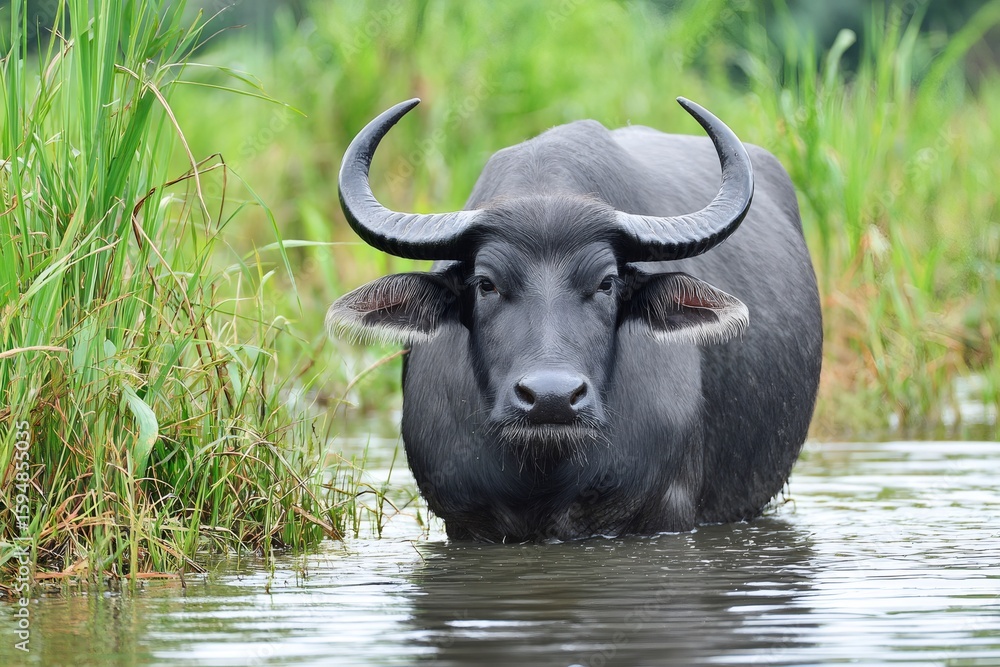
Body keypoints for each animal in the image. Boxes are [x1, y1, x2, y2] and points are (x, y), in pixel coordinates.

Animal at [328, 97, 822, 542]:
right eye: (486, 283)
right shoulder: (464, 521)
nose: (552, 398)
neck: (544, 470)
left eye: (606, 283)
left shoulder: (666, 512)